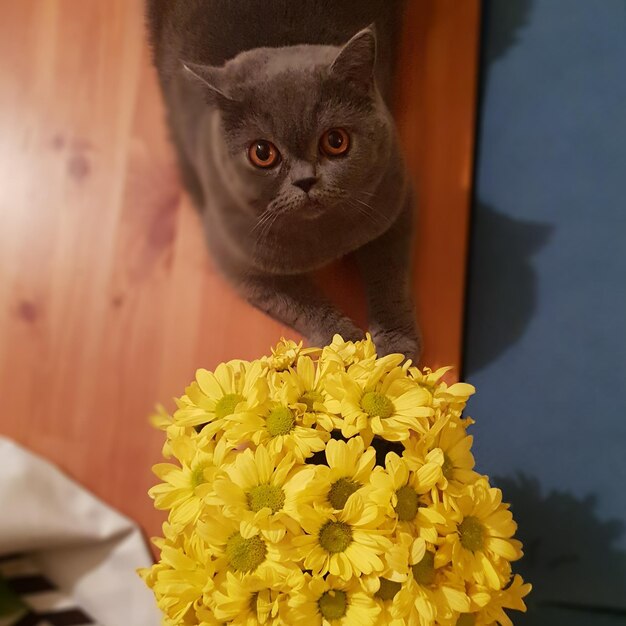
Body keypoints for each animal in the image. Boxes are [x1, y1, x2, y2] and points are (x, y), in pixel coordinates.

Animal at [145, 0, 420, 358]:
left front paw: (396, 349)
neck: (323, 240)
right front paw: (343, 346)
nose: (305, 180)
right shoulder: (238, 262)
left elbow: (389, 278)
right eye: (262, 153)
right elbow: (302, 304)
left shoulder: (394, 203)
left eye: (336, 141)